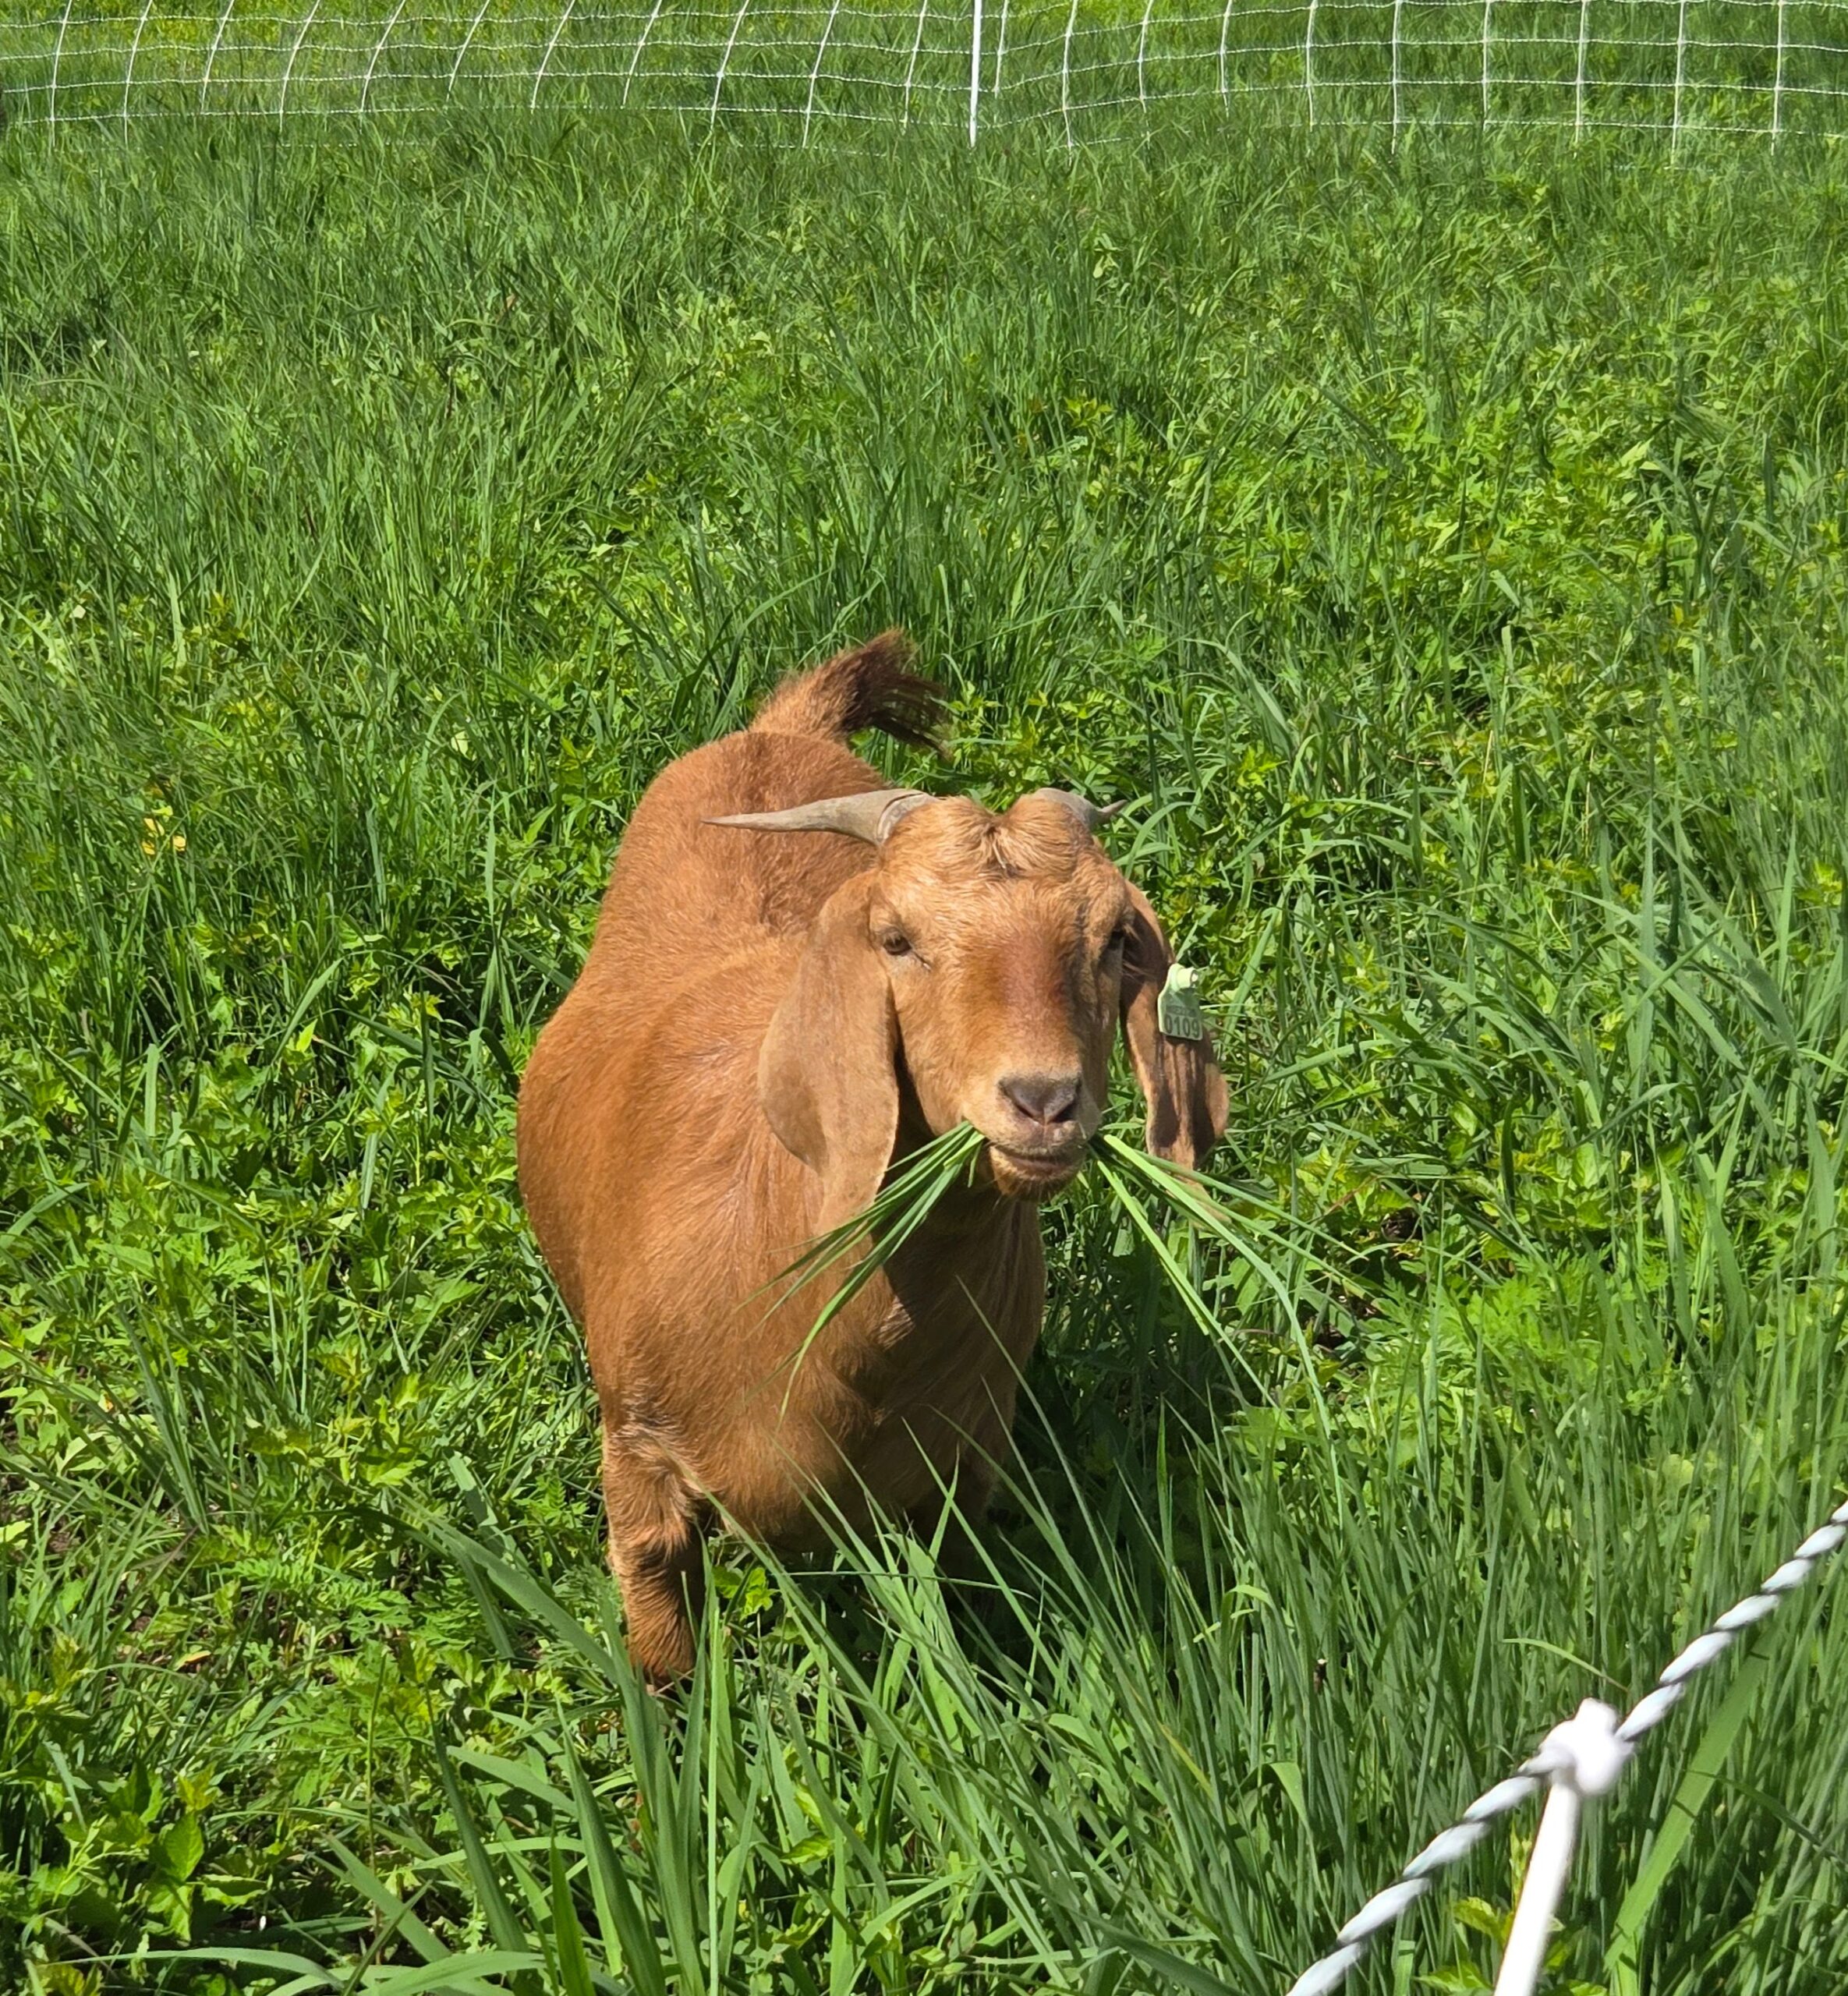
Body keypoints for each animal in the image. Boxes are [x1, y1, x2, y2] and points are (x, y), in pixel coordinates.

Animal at [517, 633, 1227, 1680]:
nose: (1043, 1100)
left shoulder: (959, 1476)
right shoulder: (639, 1460)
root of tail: (782, 730)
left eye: (1110, 940)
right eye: (896, 938)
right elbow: (663, 1657)